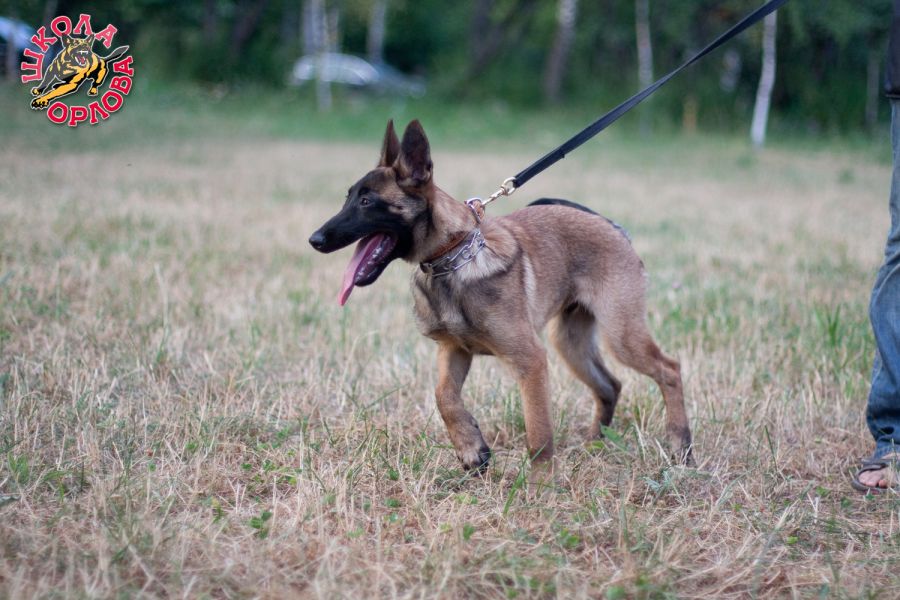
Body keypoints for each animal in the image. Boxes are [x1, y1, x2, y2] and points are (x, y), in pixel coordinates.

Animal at [309, 120, 693, 473]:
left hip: (621, 335)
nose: (315, 240)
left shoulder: (531, 361)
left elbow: (538, 435)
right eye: (348, 197)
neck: (453, 258)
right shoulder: (454, 350)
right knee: (610, 385)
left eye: (366, 201)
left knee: (669, 370)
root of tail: (613, 226)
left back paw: (680, 444)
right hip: (569, 342)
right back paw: (595, 444)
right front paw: (471, 448)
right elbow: (443, 397)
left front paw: (541, 489)